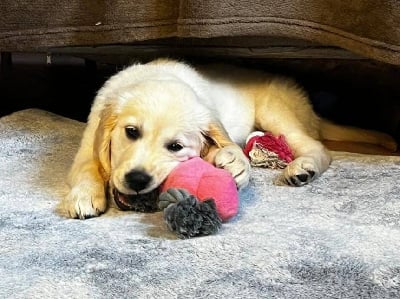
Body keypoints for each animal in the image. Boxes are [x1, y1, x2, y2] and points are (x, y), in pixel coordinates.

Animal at [56, 58, 396, 219]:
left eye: (176, 147)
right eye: (131, 132)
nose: (137, 179)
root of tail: (309, 107)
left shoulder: (214, 121)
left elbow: (229, 143)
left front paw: (235, 163)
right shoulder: (90, 139)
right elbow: (87, 167)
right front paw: (84, 196)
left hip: (276, 111)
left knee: (318, 146)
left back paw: (303, 168)